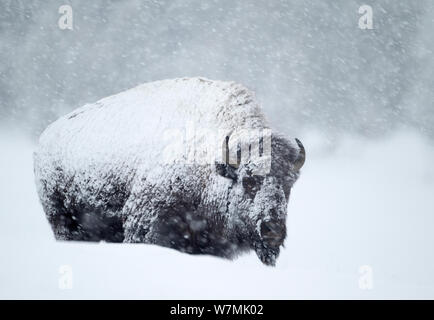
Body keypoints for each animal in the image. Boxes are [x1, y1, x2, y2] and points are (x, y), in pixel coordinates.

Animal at [34, 77, 306, 264]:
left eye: (289, 185)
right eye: (248, 181)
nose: (273, 230)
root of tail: (46, 136)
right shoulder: (146, 227)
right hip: (62, 222)